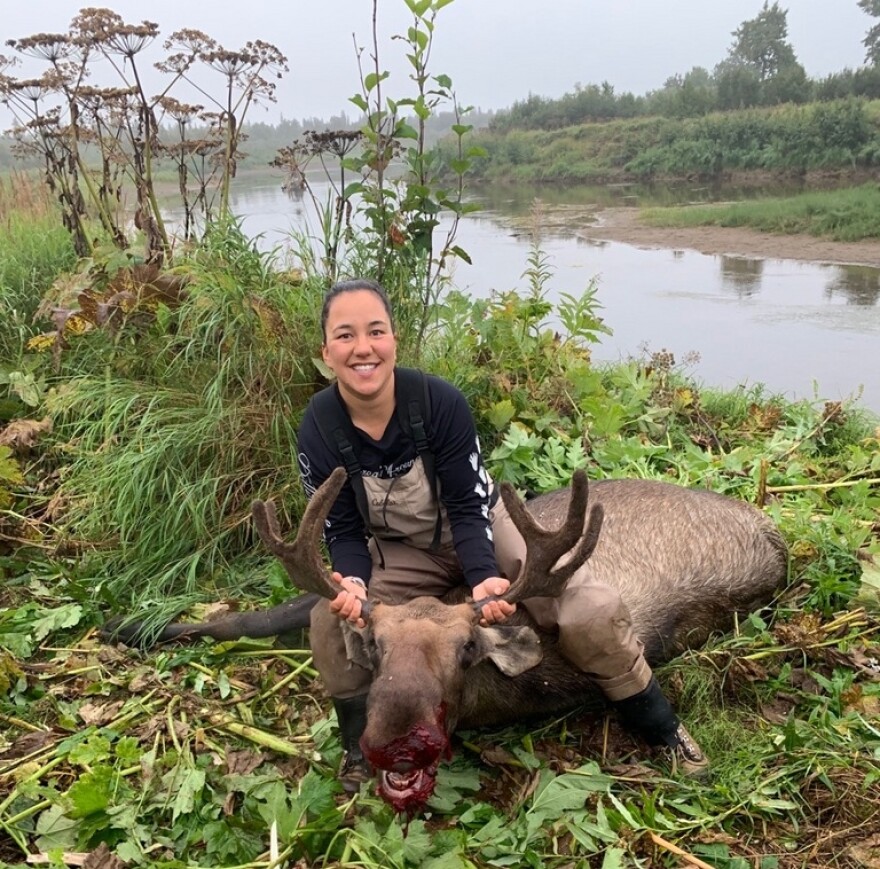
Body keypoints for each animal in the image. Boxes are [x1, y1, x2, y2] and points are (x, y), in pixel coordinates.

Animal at [106, 468, 788, 812]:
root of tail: (776, 532)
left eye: (465, 652)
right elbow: (248, 618)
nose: (399, 746)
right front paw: (132, 627)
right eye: (377, 648)